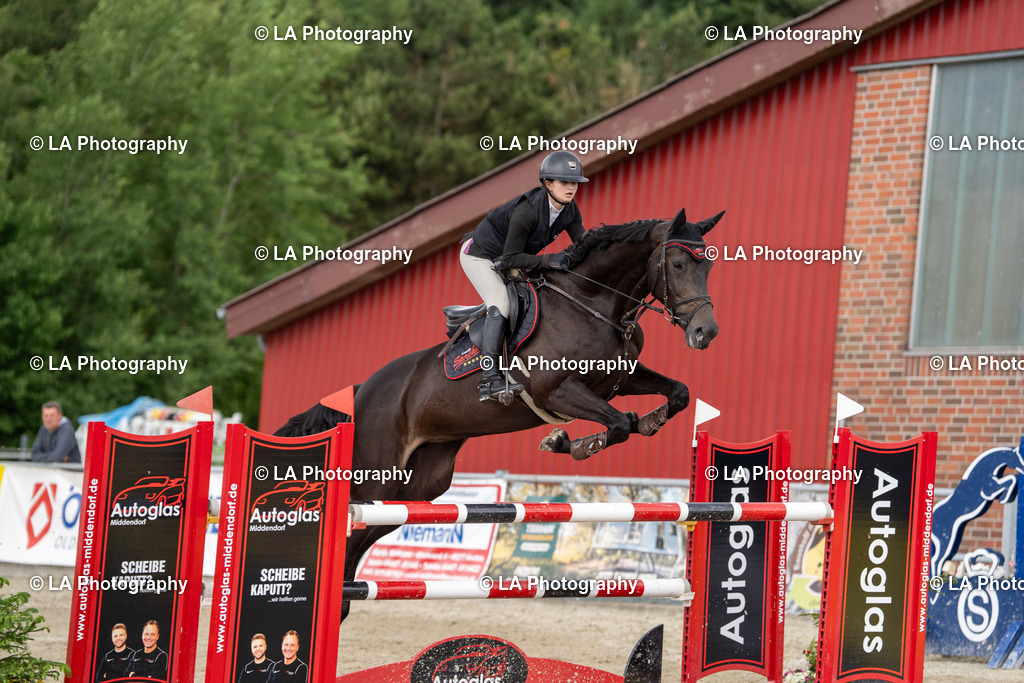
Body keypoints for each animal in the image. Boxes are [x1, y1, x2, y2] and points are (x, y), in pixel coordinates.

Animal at [275, 207, 724, 619]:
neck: (594, 303)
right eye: (678, 264)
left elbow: (678, 395)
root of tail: (361, 391)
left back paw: (346, 598)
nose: (706, 333)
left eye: (709, 264)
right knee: (352, 530)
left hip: (417, 487)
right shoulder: (556, 392)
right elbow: (616, 423)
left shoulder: (620, 379)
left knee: (369, 532)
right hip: (375, 478)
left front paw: (648, 421)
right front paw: (569, 442)